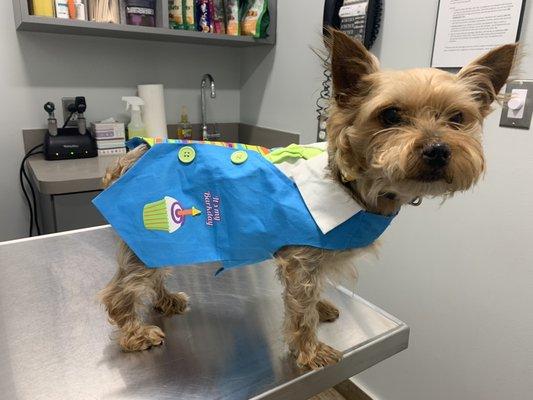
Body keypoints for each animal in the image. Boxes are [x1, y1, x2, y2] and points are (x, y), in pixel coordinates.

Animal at [98, 29, 516, 370]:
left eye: (458, 118)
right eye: (390, 115)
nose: (438, 150)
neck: (351, 186)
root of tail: (130, 153)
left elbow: (315, 295)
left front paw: (323, 308)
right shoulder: (302, 260)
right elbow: (300, 311)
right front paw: (310, 351)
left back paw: (165, 300)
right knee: (120, 291)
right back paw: (135, 333)